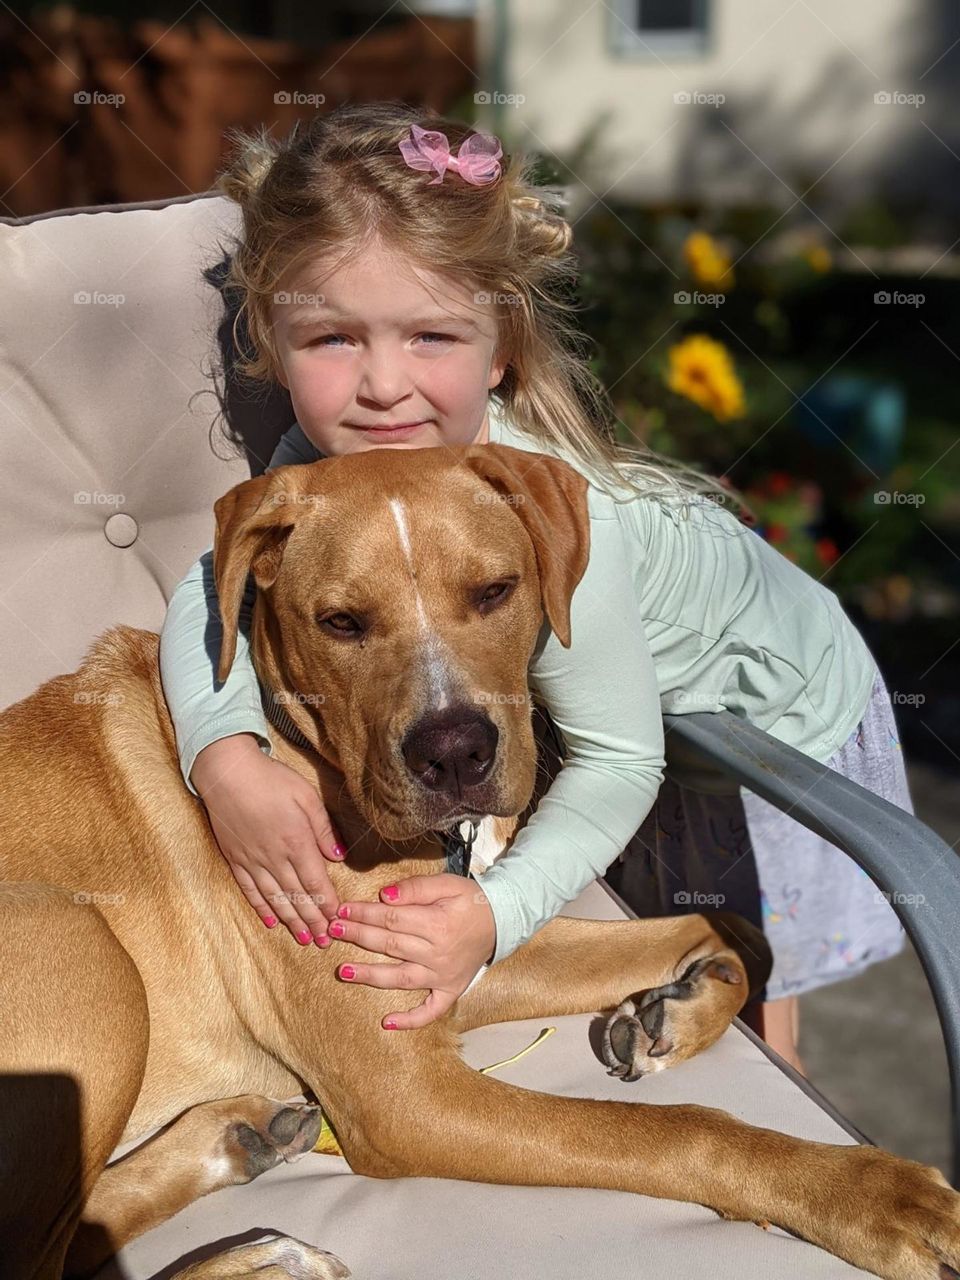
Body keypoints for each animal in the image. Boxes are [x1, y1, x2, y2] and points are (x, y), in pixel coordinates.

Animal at [1, 442, 960, 1280]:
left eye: (496, 592)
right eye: (340, 623)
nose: (456, 753)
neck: (305, 756)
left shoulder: (454, 952)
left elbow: (728, 929)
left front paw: (675, 1010)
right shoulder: (404, 1097)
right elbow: (678, 1131)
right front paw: (876, 1196)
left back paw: (235, 1139)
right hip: (90, 959)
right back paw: (257, 1262)